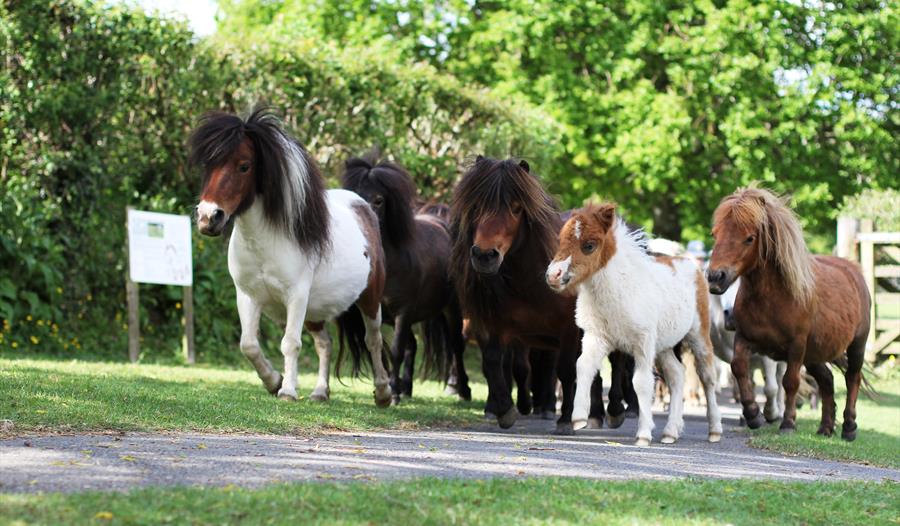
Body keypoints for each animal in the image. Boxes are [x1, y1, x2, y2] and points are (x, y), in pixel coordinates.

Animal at [190, 108, 392, 407]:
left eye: (244, 166)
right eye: (208, 164)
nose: (208, 217)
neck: (264, 245)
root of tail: (363, 206)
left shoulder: (296, 296)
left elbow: (290, 343)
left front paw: (287, 391)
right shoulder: (248, 296)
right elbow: (248, 344)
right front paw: (274, 381)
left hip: (369, 299)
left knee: (373, 340)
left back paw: (383, 392)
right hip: (315, 311)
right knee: (325, 344)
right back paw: (320, 392)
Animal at [341, 155, 470, 403]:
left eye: (379, 200)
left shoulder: (403, 312)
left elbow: (395, 350)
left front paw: (392, 392)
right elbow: (383, 348)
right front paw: (391, 389)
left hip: (452, 309)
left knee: (456, 346)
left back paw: (463, 390)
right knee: (413, 345)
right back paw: (407, 387)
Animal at [449, 156, 607, 434]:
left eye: (516, 209)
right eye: (476, 206)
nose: (484, 255)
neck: (530, 282)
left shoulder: (568, 329)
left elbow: (566, 371)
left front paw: (564, 420)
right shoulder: (497, 326)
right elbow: (495, 363)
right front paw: (504, 411)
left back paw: (596, 415)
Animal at [546, 203, 723, 446]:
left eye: (589, 245)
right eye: (561, 239)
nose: (553, 275)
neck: (617, 291)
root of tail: (693, 266)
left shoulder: (642, 344)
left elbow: (641, 382)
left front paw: (643, 435)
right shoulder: (596, 338)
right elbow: (583, 366)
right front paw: (579, 418)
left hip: (698, 335)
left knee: (707, 377)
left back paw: (714, 430)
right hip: (663, 346)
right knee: (677, 374)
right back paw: (670, 432)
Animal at [707, 187, 870, 440]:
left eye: (749, 238)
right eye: (715, 234)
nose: (716, 277)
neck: (772, 298)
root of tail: (853, 270)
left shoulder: (796, 347)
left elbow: (790, 382)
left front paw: (787, 423)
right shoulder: (745, 339)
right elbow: (739, 368)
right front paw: (753, 414)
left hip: (856, 346)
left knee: (853, 378)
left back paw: (849, 427)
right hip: (814, 355)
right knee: (827, 380)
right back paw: (825, 427)